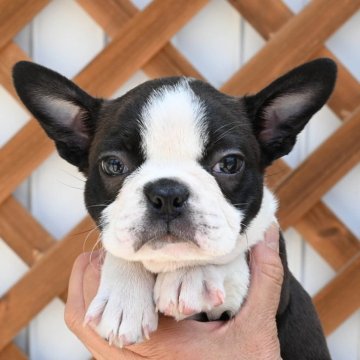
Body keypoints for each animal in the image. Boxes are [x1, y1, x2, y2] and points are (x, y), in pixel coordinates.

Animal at [12, 57, 336, 358]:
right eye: (113, 165)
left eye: (230, 163)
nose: (167, 194)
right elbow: (122, 251)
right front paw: (123, 298)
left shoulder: (279, 294)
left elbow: (231, 256)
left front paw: (194, 276)